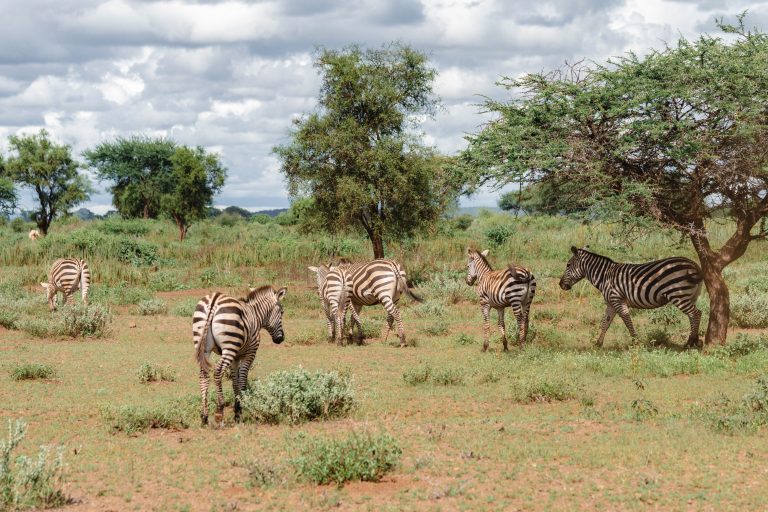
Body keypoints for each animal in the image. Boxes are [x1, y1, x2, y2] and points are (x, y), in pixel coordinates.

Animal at [192, 286, 288, 426]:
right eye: (282, 312)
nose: (280, 339)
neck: (256, 315)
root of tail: (214, 300)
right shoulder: (250, 353)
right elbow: (242, 380)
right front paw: (240, 411)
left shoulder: (236, 357)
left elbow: (235, 382)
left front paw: (237, 410)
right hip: (229, 347)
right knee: (218, 371)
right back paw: (219, 413)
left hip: (204, 346)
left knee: (203, 375)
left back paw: (204, 417)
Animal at [560, 245, 704, 348]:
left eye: (568, 265)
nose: (560, 284)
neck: (605, 276)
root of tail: (694, 265)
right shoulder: (611, 303)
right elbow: (605, 322)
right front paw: (598, 343)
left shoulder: (617, 300)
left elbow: (627, 321)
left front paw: (636, 342)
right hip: (691, 295)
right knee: (695, 314)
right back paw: (694, 340)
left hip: (678, 294)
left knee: (695, 313)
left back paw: (691, 342)